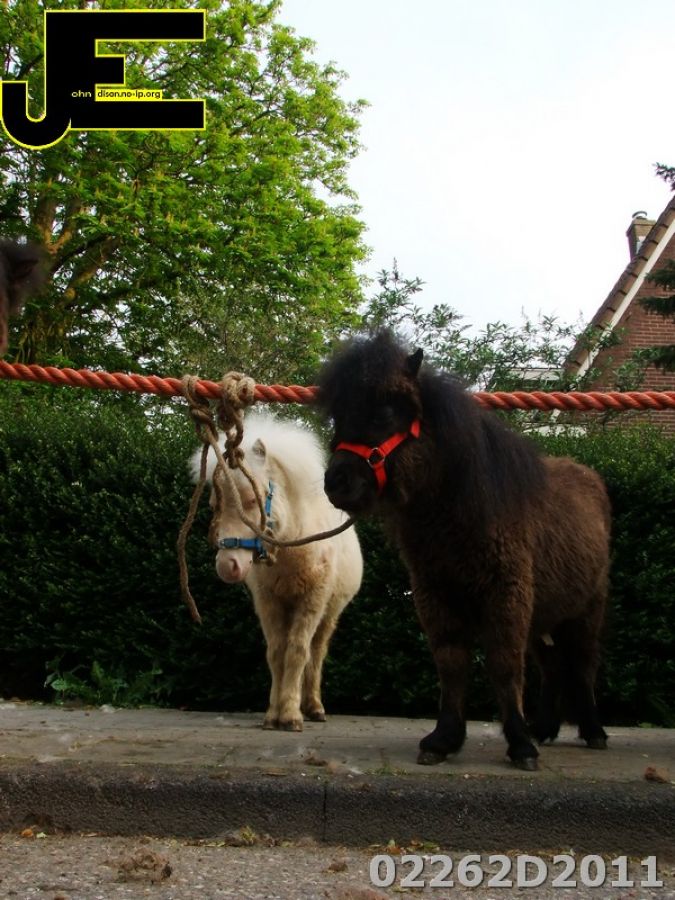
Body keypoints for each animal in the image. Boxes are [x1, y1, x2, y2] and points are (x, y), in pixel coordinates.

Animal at [191, 411, 363, 731]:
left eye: (251, 500)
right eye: (213, 505)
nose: (227, 566)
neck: (292, 551)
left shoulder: (311, 601)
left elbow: (297, 652)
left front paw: (291, 714)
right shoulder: (268, 601)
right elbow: (277, 651)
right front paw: (274, 713)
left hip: (329, 613)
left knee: (316, 653)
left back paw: (314, 707)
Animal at [318, 330, 611, 770]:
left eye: (385, 411)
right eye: (339, 414)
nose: (336, 482)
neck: (459, 508)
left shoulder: (506, 595)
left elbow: (504, 666)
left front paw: (520, 744)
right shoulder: (435, 596)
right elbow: (451, 664)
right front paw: (445, 739)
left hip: (588, 609)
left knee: (583, 666)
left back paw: (592, 731)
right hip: (545, 615)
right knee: (553, 667)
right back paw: (545, 728)